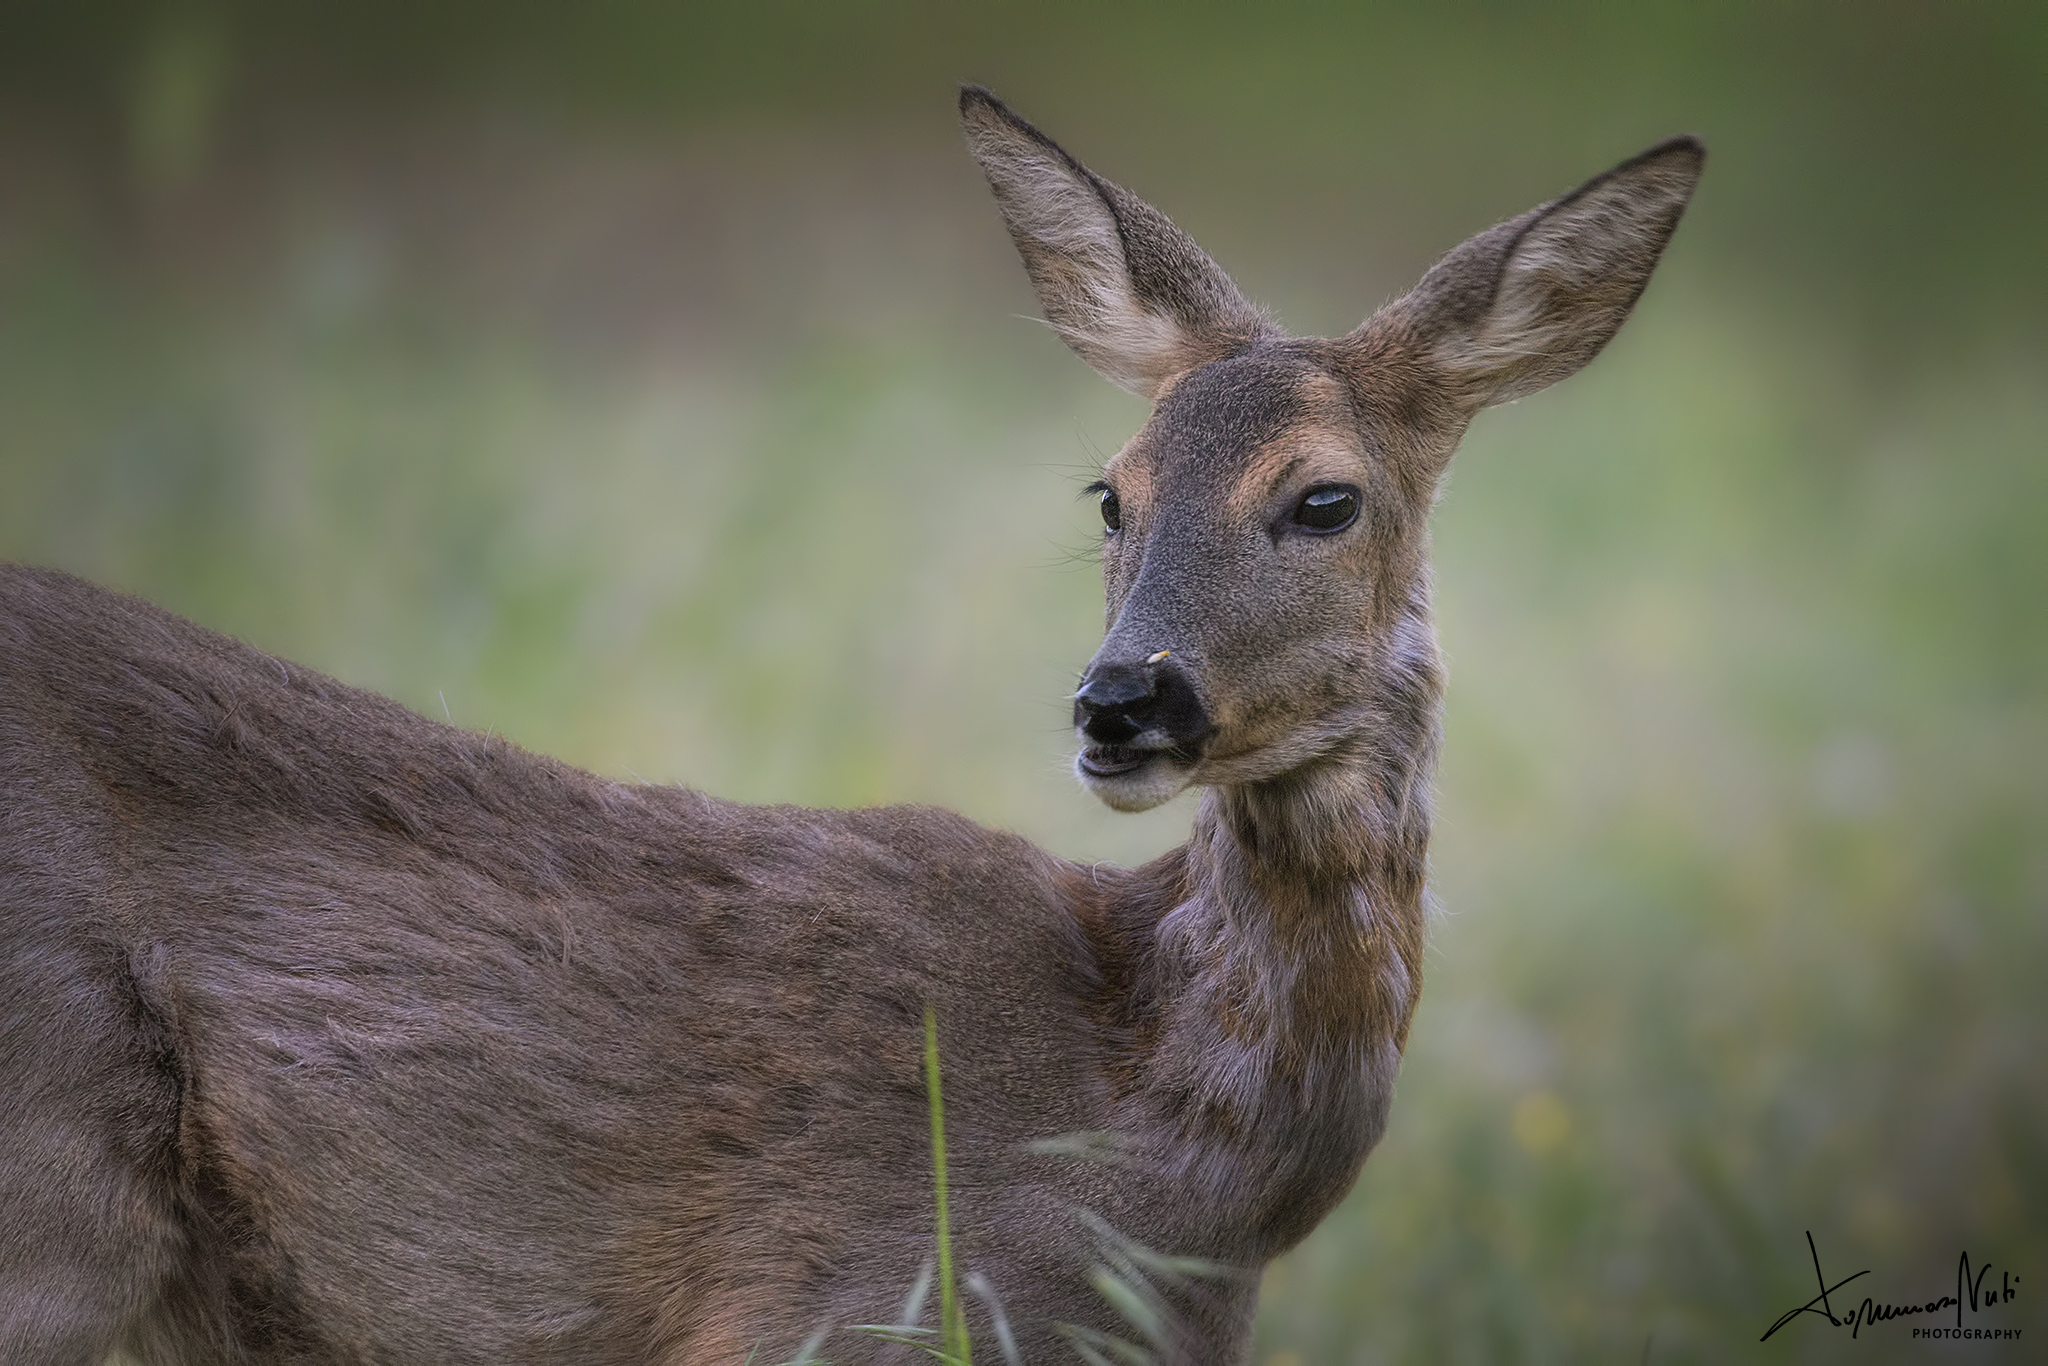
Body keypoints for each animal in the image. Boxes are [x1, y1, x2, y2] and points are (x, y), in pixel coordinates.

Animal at [0, 87, 1700, 1365]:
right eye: (1111, 491)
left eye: (1324, 499)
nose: (1120, 701)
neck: (1158, 1164)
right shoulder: (828, 1305)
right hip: (49, 1187)